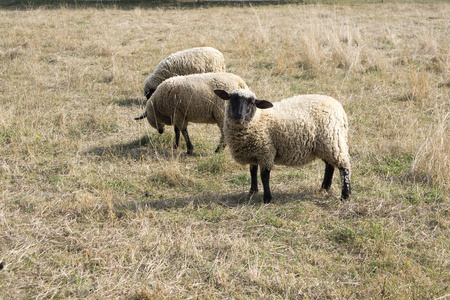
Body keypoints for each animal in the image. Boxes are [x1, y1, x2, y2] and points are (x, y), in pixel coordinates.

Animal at [214, 88, 352, 203]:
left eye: (252, 102)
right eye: (232, 98)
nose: (239, 116)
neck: (258, 119)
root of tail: (338, 107)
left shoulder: (266, 152)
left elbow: (264, 176)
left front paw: (267, 198)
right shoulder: (254, 152)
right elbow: (252, 172)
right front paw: (252, 192)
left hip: (333, 140)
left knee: (343, 166)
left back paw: (345, 195)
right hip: (324, 146)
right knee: (329, 166)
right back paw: (324, 188)